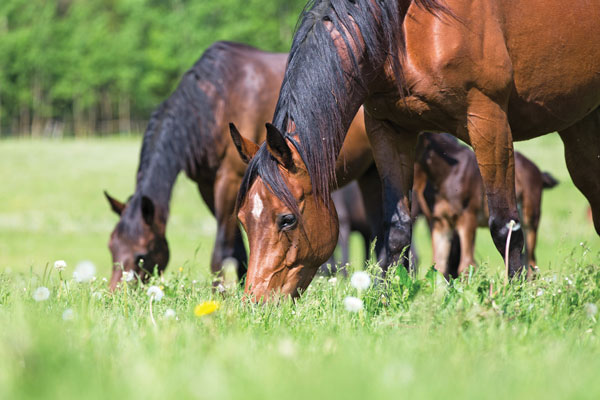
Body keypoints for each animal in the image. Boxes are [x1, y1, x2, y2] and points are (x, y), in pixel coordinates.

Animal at [103, 40, 376, 290]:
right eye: (112, 247)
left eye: (142, 254)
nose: (116, 294)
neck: (217, 101)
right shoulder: (209, 187)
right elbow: (238, 250)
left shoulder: (230, 179)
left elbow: (220, 251)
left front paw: (220, 295)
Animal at [412, 133, 556, 280]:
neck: (448, 174)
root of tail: (538, 171)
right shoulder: (440, 223)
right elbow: (439, 266)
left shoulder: (468, 219)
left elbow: (467, 264)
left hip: (530, 220)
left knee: (531, 262)